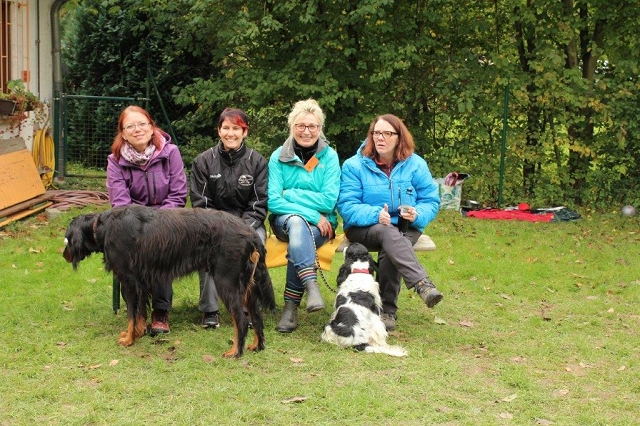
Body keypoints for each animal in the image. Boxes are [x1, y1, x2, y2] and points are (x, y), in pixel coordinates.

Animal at [62, 205, 275, 358]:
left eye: (66, 239)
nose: (64, 255)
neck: (102, 226)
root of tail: (251, 233)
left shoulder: (129, 282)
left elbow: (131, 314)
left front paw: (129, 339)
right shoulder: (140, 282)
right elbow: (140, 312)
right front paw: (138, 332)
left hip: (226, 282)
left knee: (241, 319)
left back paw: (235, 352)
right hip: (247, 286)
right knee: (256, 317)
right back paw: (257, 346)